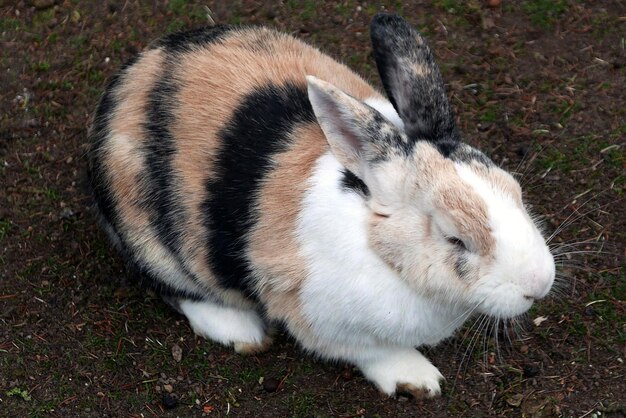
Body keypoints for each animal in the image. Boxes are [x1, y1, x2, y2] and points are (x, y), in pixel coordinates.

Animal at [86, 13, 552, 398]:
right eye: (453, 237)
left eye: (516, 190)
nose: (540, 285)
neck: (379, 246)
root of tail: (130, 77)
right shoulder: (320, 320)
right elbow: (375, 353)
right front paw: (418, 380)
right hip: (149, 238)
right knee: (175, 288)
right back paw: (242, 332)